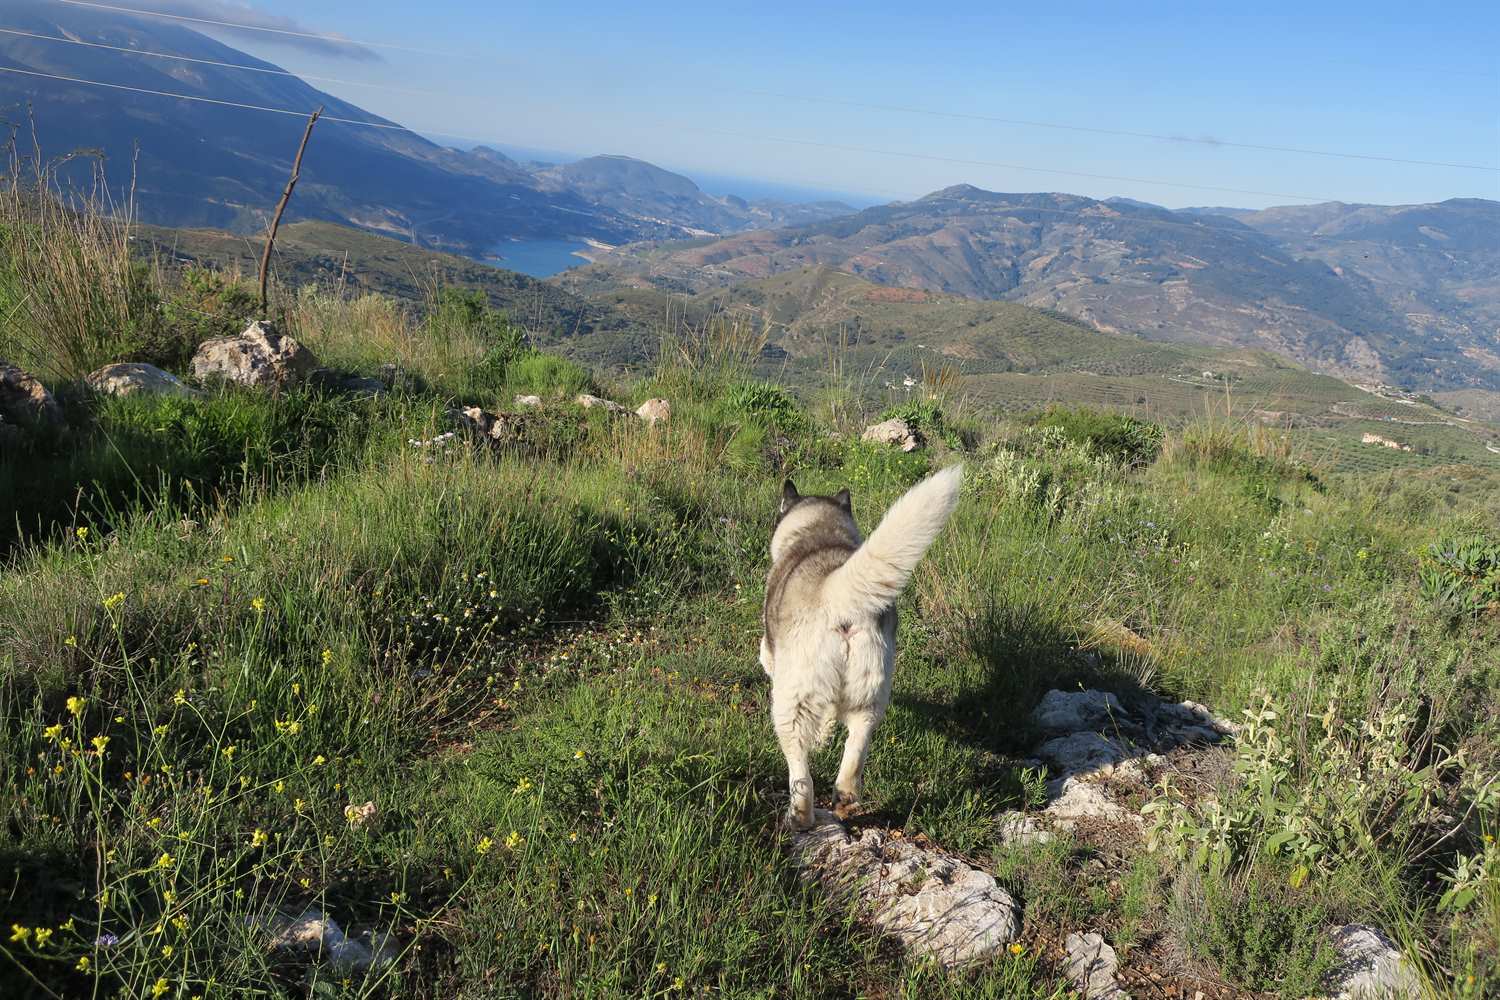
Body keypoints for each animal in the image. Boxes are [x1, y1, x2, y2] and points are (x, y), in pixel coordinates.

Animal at [756, 467, 966, 827]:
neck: (821, 531)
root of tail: (834, 590)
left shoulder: (771, 653)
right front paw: (825, 734)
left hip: (790, 702)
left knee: (800, 765)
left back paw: (800, 816)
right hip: (870, 691)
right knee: (857, 743)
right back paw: (845, 795)